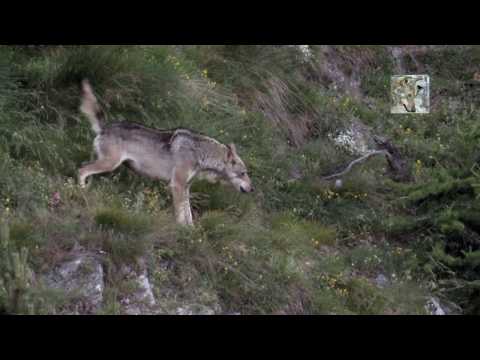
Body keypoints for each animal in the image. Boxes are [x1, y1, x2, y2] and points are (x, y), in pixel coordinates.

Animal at [78, 79, 255, 225]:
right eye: (243, 173)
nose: (252, 189)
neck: (201, 153)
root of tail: (105, 127)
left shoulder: (186, 187)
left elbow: (189, 215)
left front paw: (191, 232)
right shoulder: (177, 185)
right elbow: (180, 215)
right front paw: (181, 230)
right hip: (109, 164)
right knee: (82, 169)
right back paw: (81, 190)